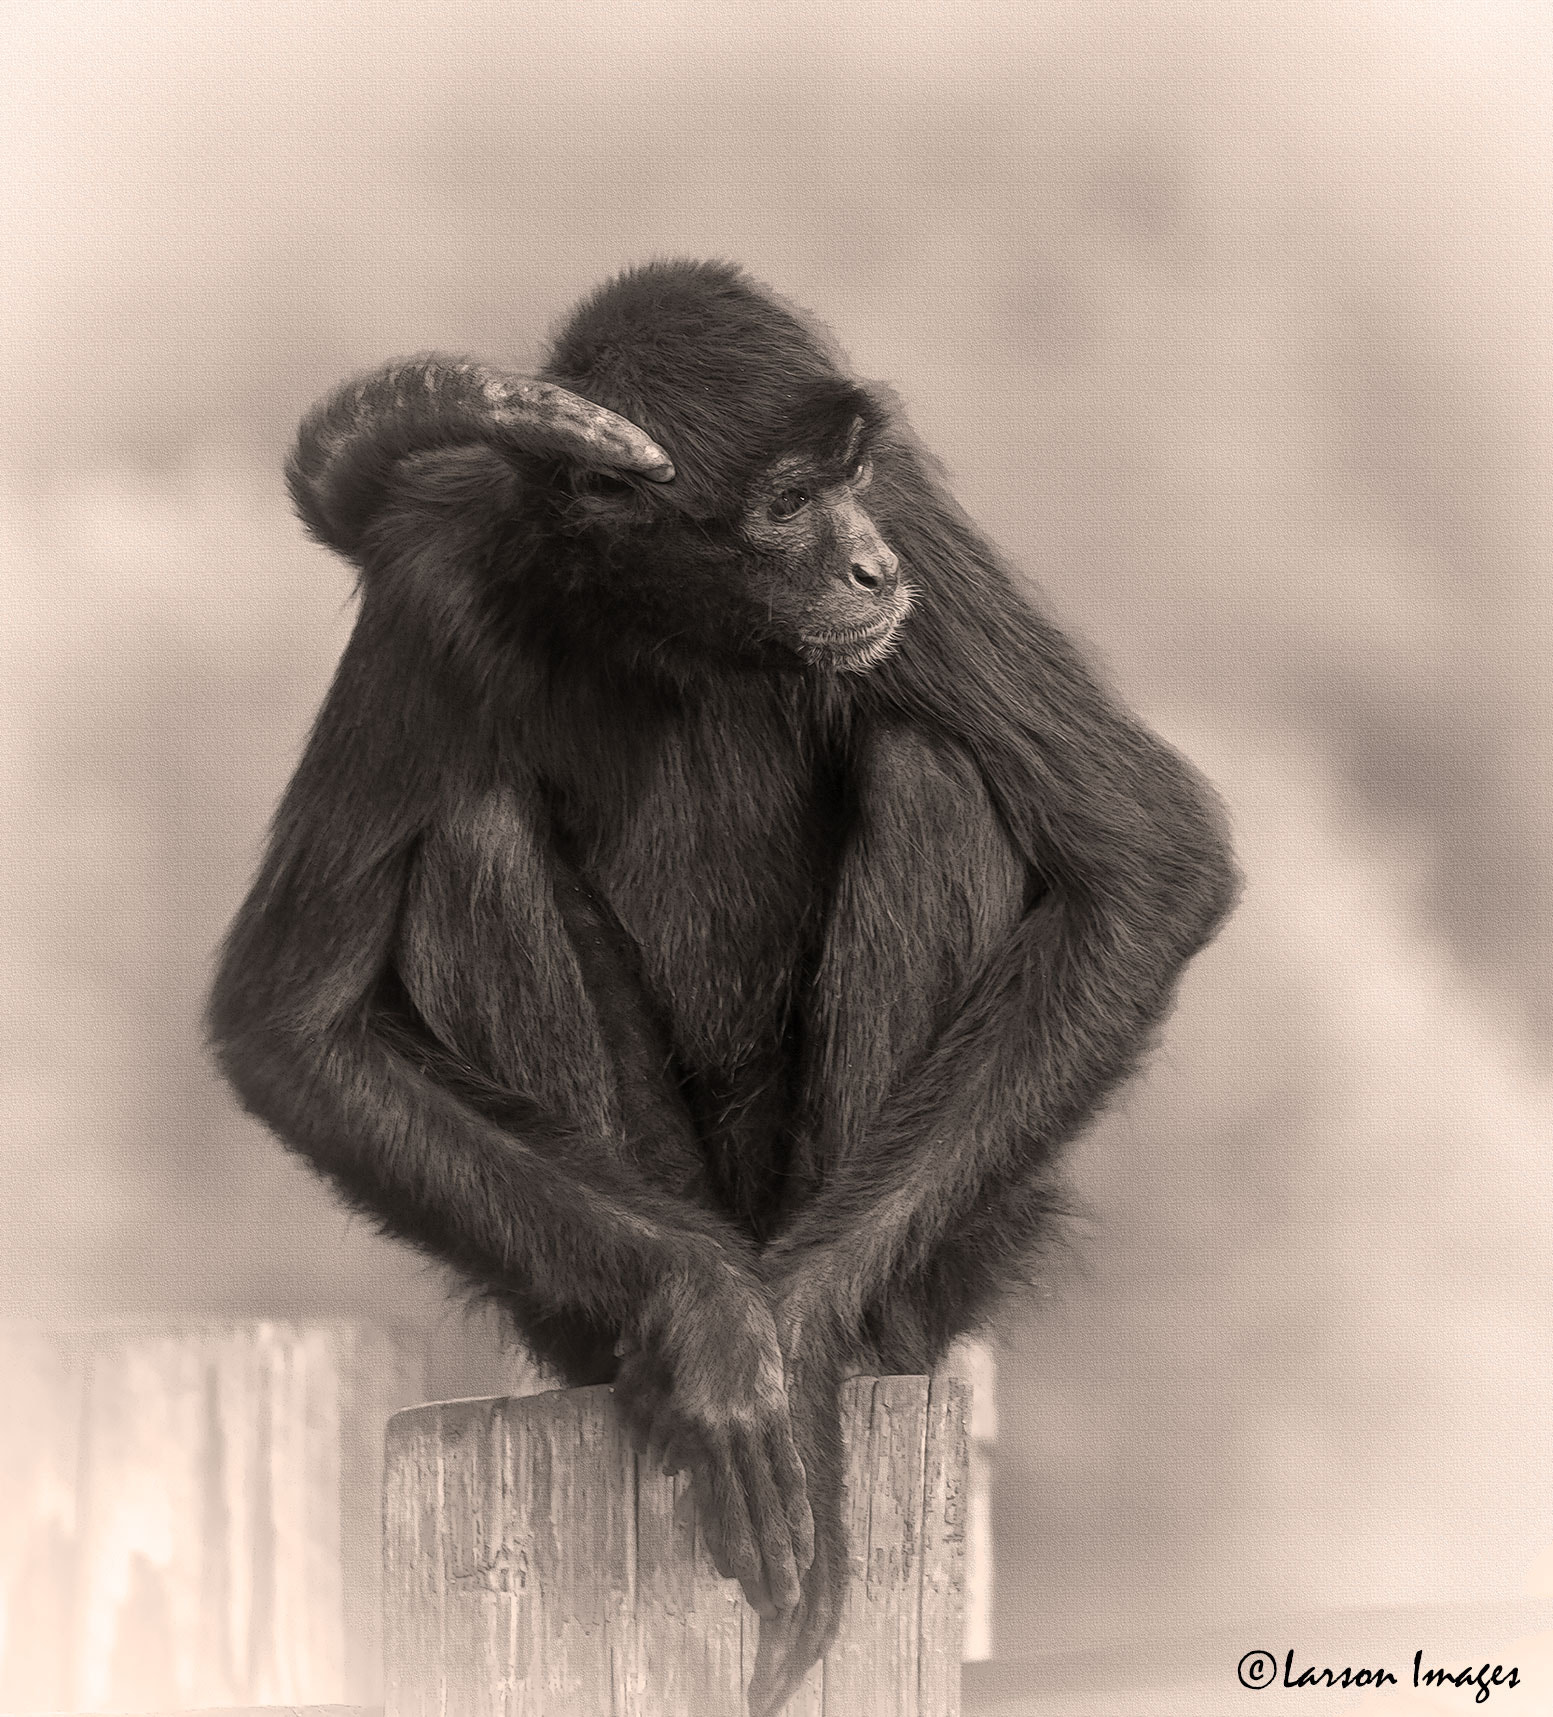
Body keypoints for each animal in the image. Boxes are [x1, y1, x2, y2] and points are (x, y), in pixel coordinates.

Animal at [208, 259, 1238, 1714]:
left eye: (845, 483)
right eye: (788, 501)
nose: (867, 564)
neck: (668, 633)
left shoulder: (916, 515)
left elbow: (1152, 859)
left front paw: (791, 1365)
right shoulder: (431, 588)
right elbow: (286, 1027)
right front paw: (713, 1334)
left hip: (949, 1229)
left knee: (928, 769)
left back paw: (849, 1344)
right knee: (471, 834)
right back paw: (645, 1353)